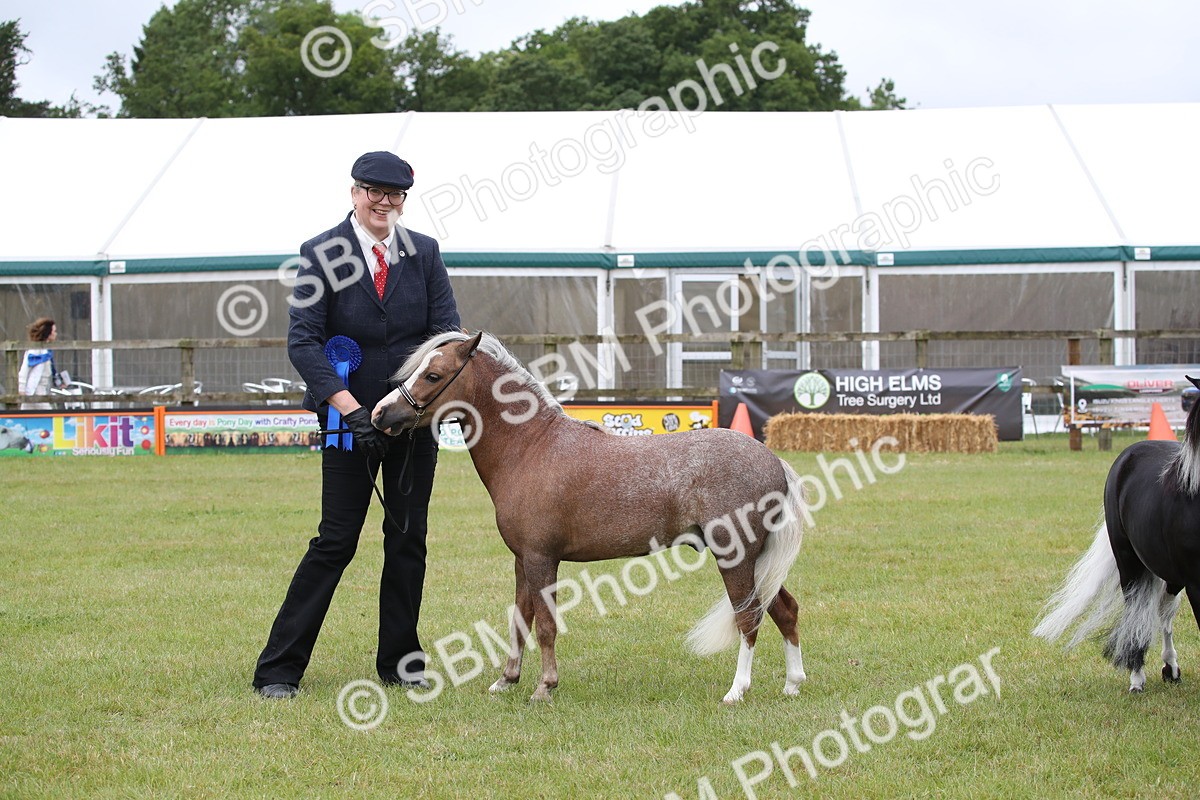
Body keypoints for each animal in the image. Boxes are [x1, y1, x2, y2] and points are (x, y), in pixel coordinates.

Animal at [372, 331, 809, 703]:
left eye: (433, 375)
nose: (380, 414)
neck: (531, 446)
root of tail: (773, 460)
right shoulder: (522, 561)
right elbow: (520, 620)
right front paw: (506, 680)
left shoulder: (541, 559)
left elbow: (545, 625)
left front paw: (544, 687)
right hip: (758, 562)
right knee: (784, 610)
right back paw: (792, 684)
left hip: (736, 558)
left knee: (748, 618)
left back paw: (737, 690)